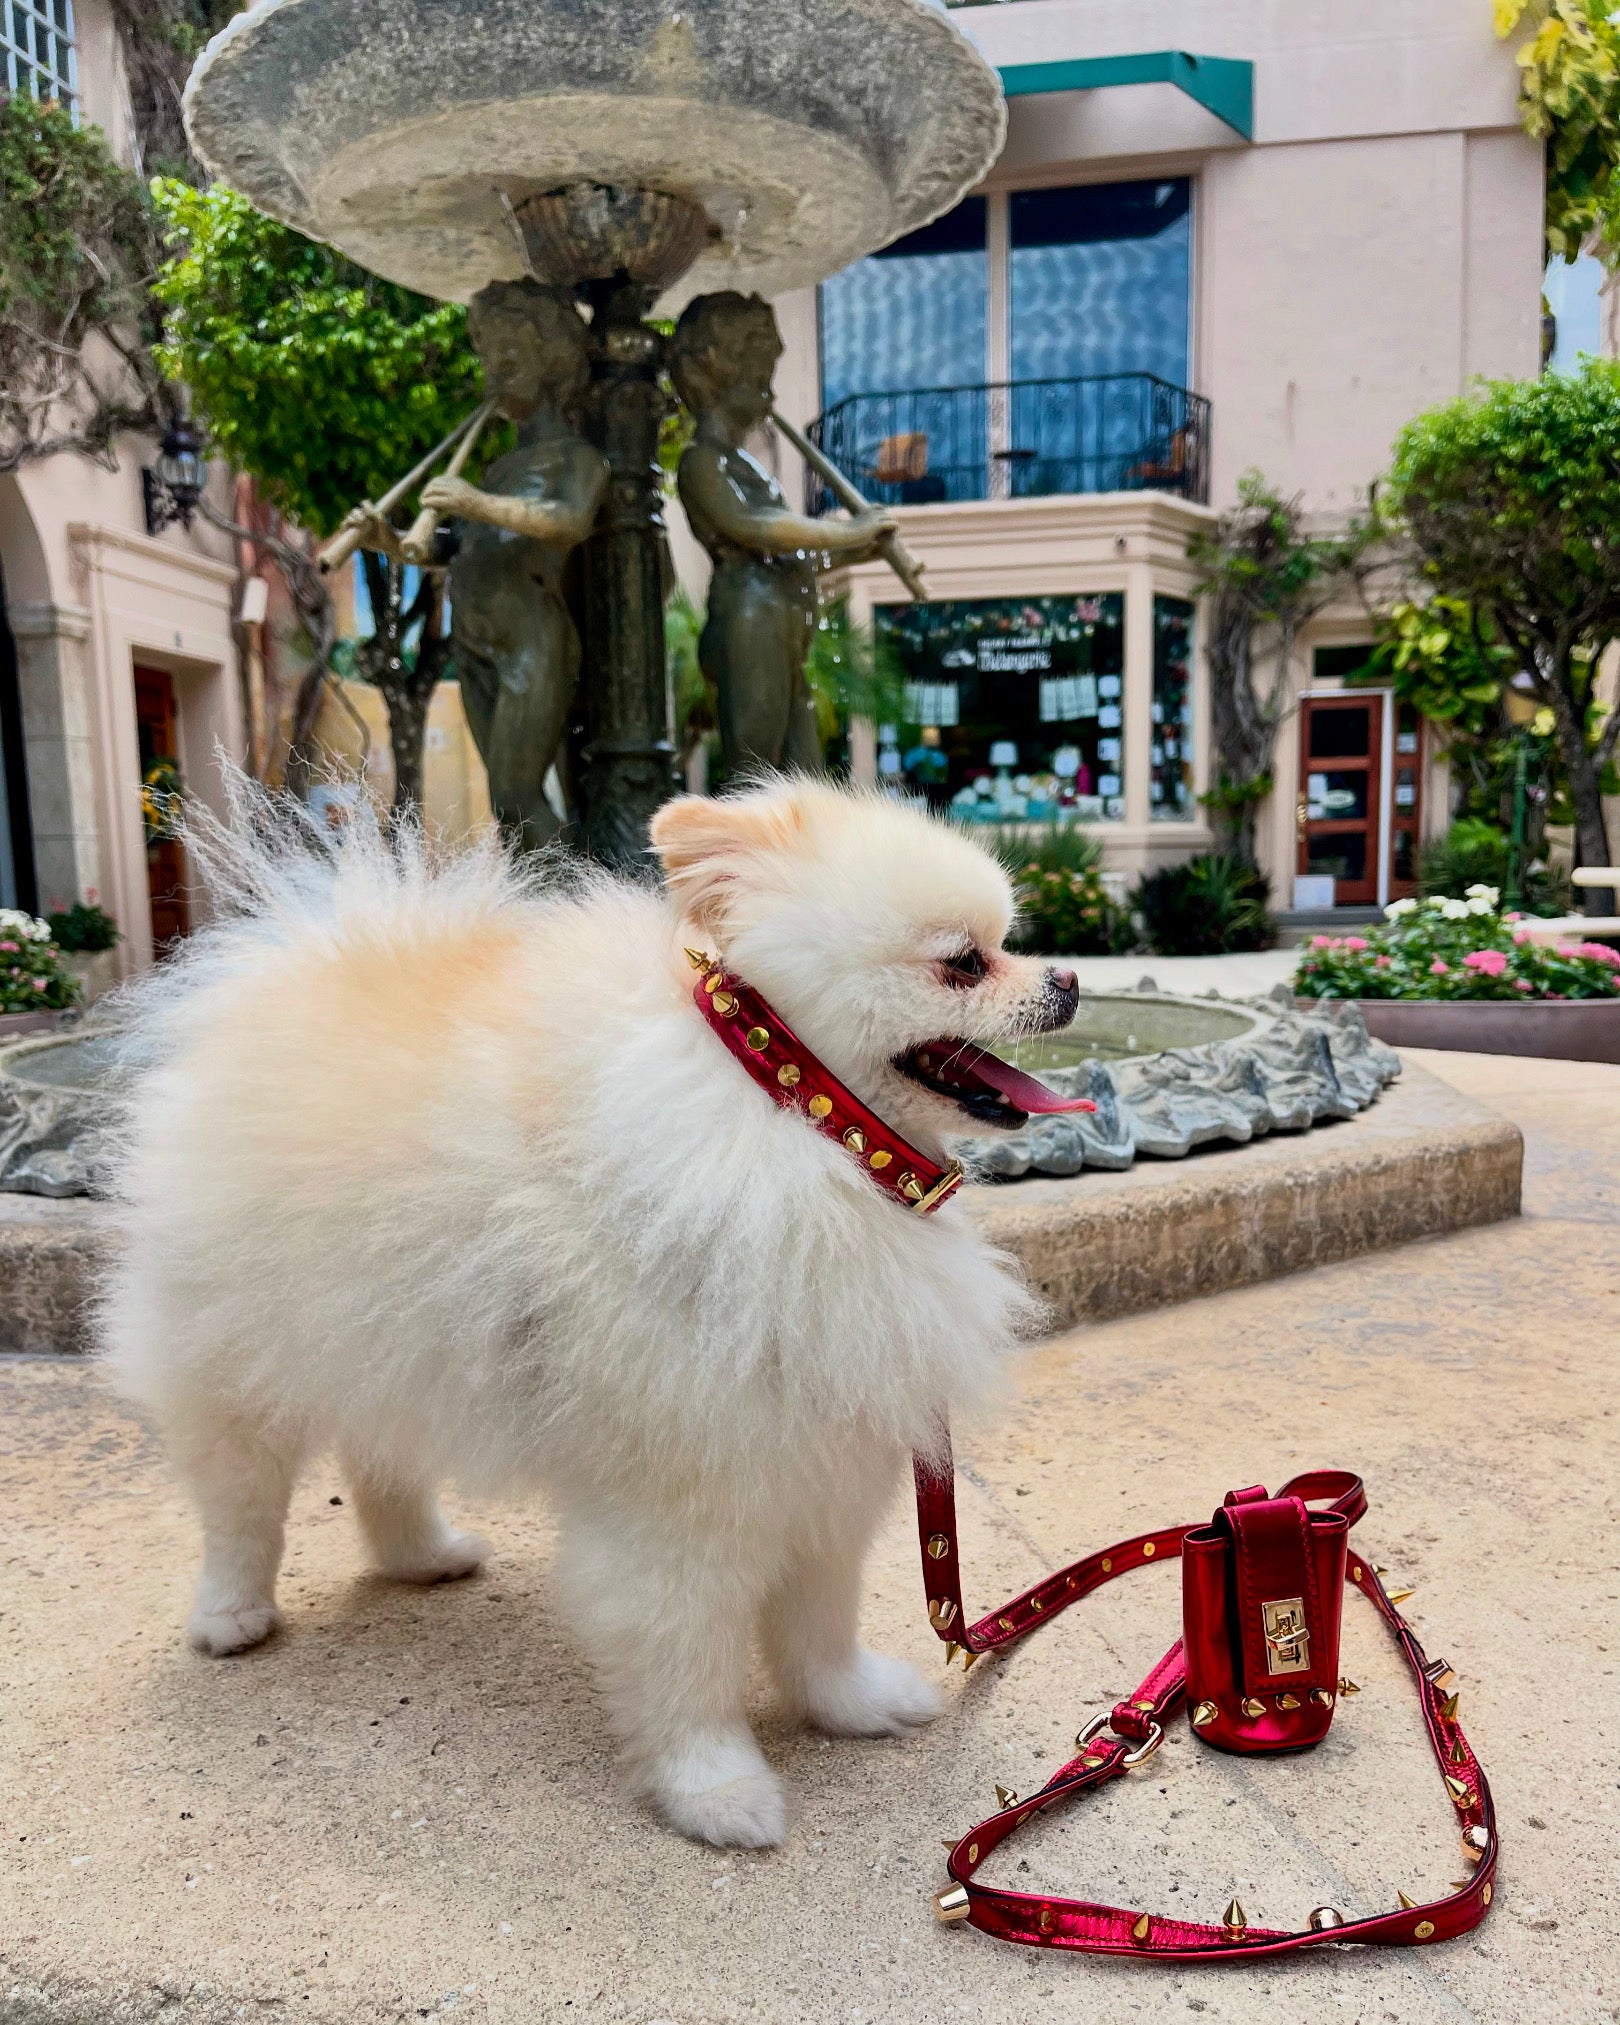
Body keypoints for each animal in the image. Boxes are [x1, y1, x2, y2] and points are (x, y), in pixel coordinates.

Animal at [107, 777, 1085, 1854]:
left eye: (1008, 942)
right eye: (963, 961)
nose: (1072, 978)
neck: (798, 1123)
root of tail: (290, 966)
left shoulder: (822, 1454)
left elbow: (820, 1618)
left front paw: (851, 1705)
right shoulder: (679, 1496)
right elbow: (684, 1652)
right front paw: (717, 1791)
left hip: (386, 1343)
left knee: (381, 1455)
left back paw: (424, 1556)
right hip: (238, 1357)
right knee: (240, 1500)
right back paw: (231, 1614)